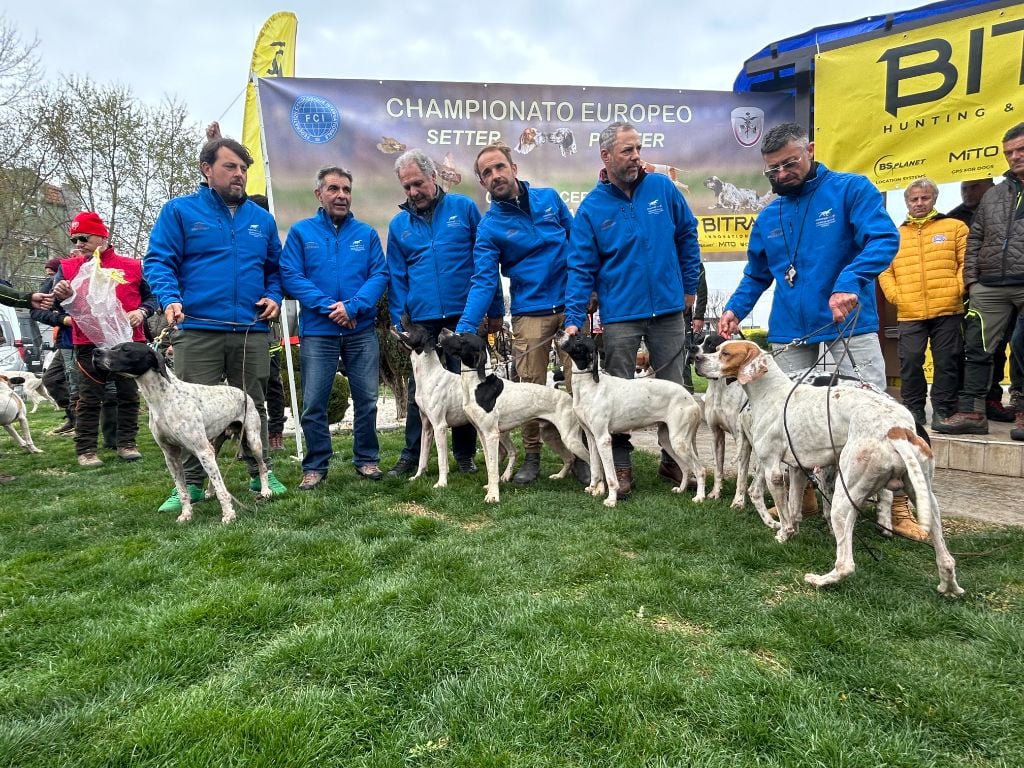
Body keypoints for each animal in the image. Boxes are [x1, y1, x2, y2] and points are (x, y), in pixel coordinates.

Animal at [94, 346, 270, 528]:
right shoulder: (171, 455)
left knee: (262, 466)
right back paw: (209, 492)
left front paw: (228, 515)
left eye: (125, 349)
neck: (162, 398)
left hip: (253, 441)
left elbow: (222, 490)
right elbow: (183, 491)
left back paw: (265, 491)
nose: (96, 352)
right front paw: (186, 514)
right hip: (215, 445)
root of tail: (241, 391)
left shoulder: (202, 450)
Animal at [395, 321, 516, 489]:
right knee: (502, 452)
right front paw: (418, 476)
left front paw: (441, 483)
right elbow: (422, 457)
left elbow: (441, 459)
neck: (430, 375)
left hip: (499, 430)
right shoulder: (427, 426)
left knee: (511, 451)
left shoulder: (439, 426)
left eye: (416, 327)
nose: (403, 318)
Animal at [436, 331, 589, 505]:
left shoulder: (491, 435)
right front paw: (490, 487)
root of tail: (570, 398)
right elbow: (490, 465)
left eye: (462, 337)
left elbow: (493, 468)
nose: (443, 330)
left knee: (592, 459)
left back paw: (596, 487)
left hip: (570, 439)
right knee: (569, 457)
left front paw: (493, 495)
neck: (478, 385)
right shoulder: (482, 434)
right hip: (551, 436)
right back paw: (560, 476)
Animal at [561, 333, 704, 507]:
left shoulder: (603, 439)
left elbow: (611, 477)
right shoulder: (592, 437)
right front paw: (593, 488)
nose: (559, 332)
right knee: (685, 468)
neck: (591, 384)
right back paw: (681, 490)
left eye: (578, 339)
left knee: (700, 470)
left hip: (679, 442)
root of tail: (691, 399)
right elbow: (595, 468)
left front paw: (611, 499)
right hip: (668, 440)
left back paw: (700, 497)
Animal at [700, 339, 962, 598]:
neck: (772, 392)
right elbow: (794, 509)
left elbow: (784, 515)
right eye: (716, 348)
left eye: (725, 353)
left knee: (846, 563)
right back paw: (949, 589)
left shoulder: (773, 471)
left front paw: (783, 534)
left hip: (844, 498)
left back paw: (819, 580)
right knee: (947, 559)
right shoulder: (798, 469)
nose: (696, 357)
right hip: (926, 499)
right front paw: (793, 532)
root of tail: (896, 430)